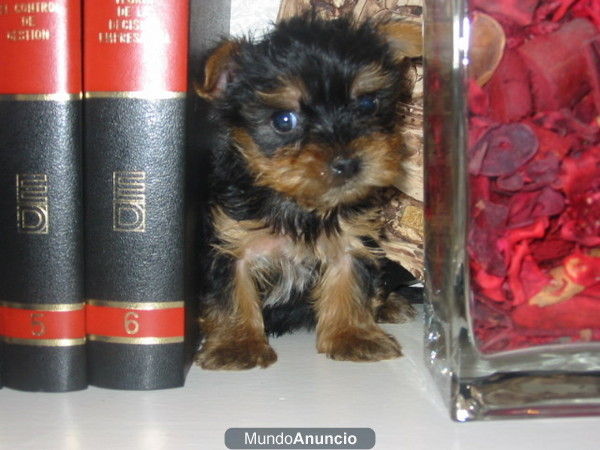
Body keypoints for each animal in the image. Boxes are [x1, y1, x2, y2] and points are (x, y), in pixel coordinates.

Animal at [195, 16, 420, 370]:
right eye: (284, 120)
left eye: (367, 104)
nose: (347, 163)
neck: (301, 205)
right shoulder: (230, 242)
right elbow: (231, 293)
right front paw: (237, 344)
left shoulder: (352, 241)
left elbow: (350, 283)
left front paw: (353, 336)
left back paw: (389, 303)